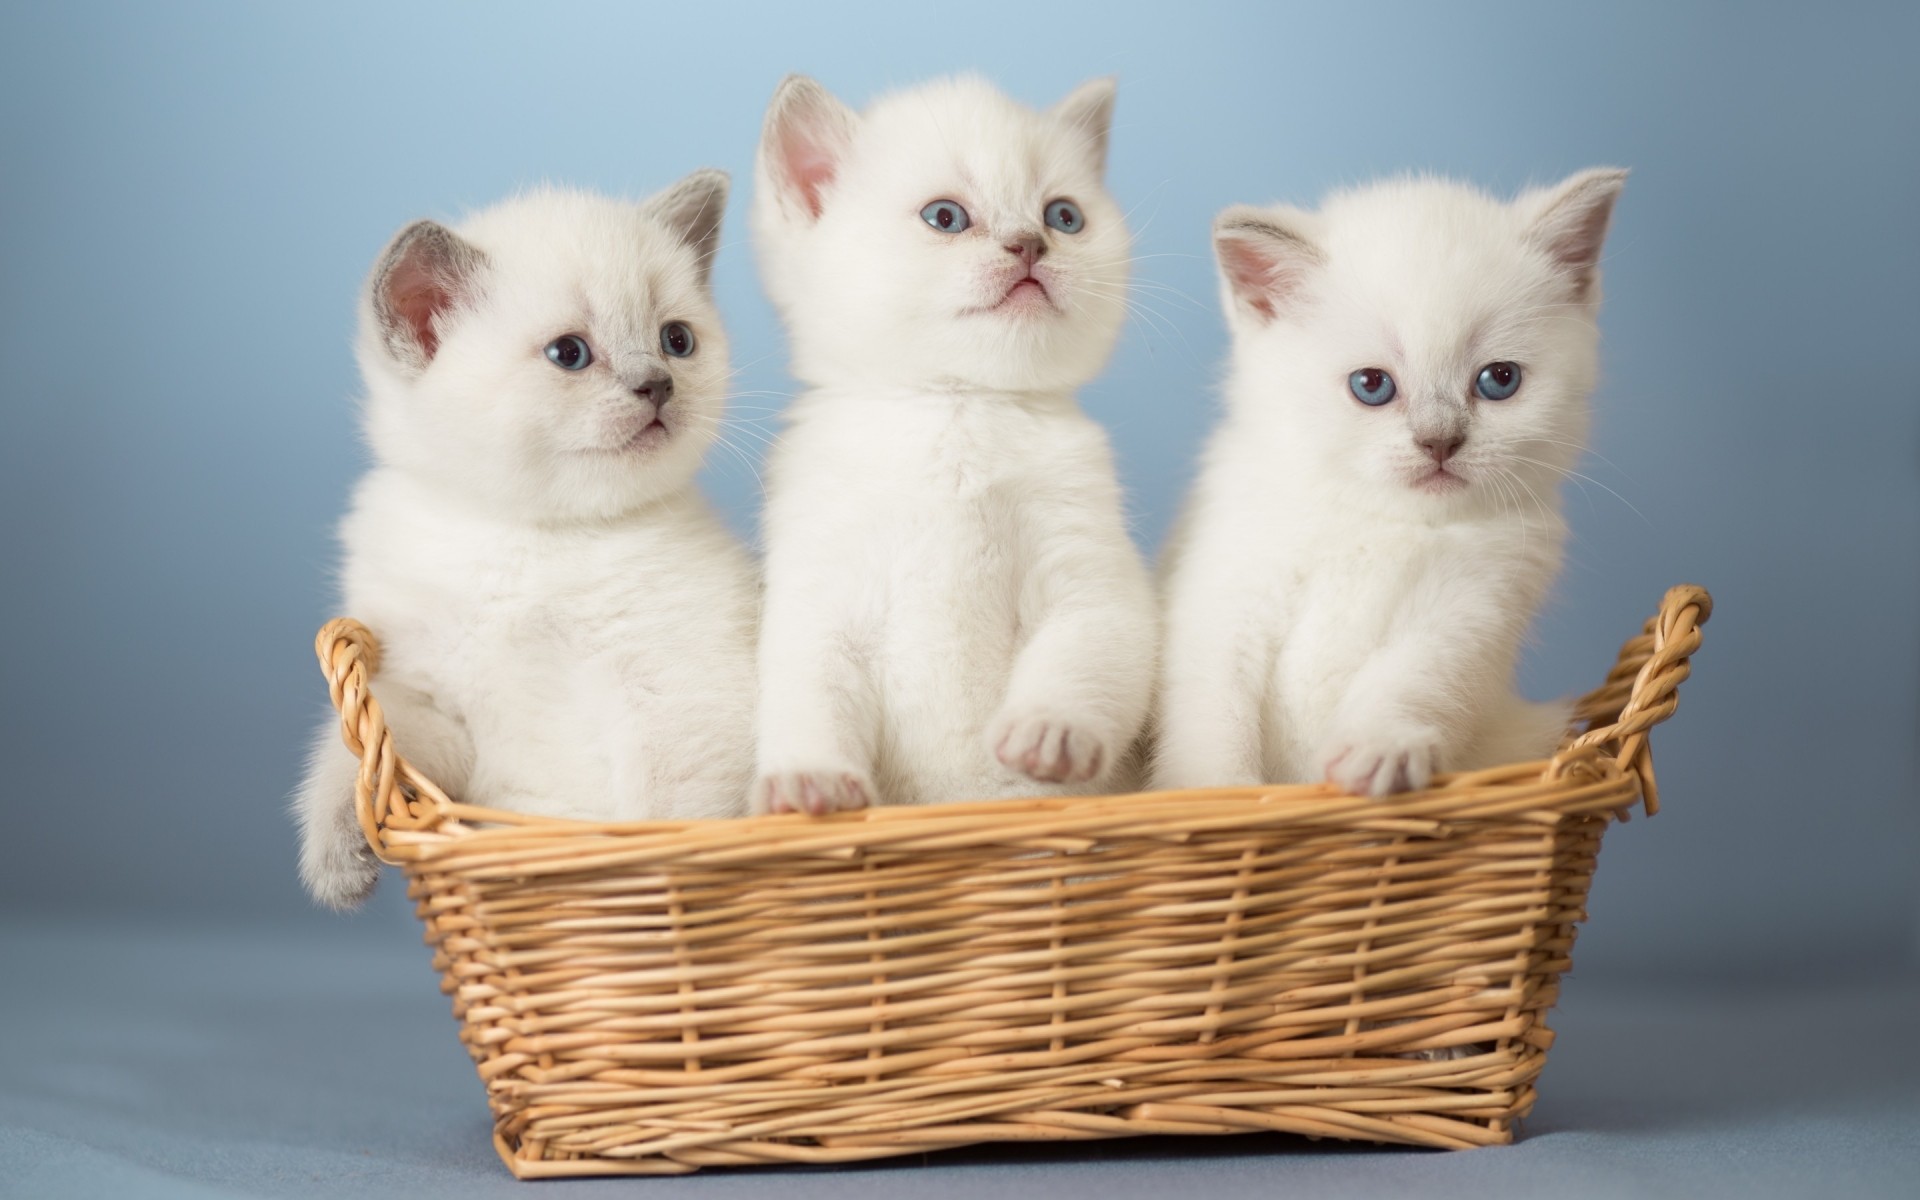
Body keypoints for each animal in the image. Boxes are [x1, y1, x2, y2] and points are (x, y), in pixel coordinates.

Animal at [291, 175, 756, 906]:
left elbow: (665, 824)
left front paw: (642, 902)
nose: (658, 384)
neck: (529, 538)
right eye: (569, 354)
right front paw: (341, 858)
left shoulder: (683, 698)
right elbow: (363, 759)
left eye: (676, 339)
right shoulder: (430, 702)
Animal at [748, 74, 1152, 814]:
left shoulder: (1094, 576)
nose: (1029, 244)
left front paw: (1051, 732)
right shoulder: (819, 599)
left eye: (1064, 217)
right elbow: (808, 694)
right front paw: (810, 781)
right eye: (945, 217)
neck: (959, 409)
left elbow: (1088, 650)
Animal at [1144, 168, 1628, 794]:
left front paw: (1382, 749)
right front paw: (1217, 790)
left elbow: (1417, 680)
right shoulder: (1227, 591)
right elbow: (1212, 704)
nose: (1439, 441)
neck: (1382, 520)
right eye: (1371, 385)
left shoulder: (1473, 611)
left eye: (1499, 380)